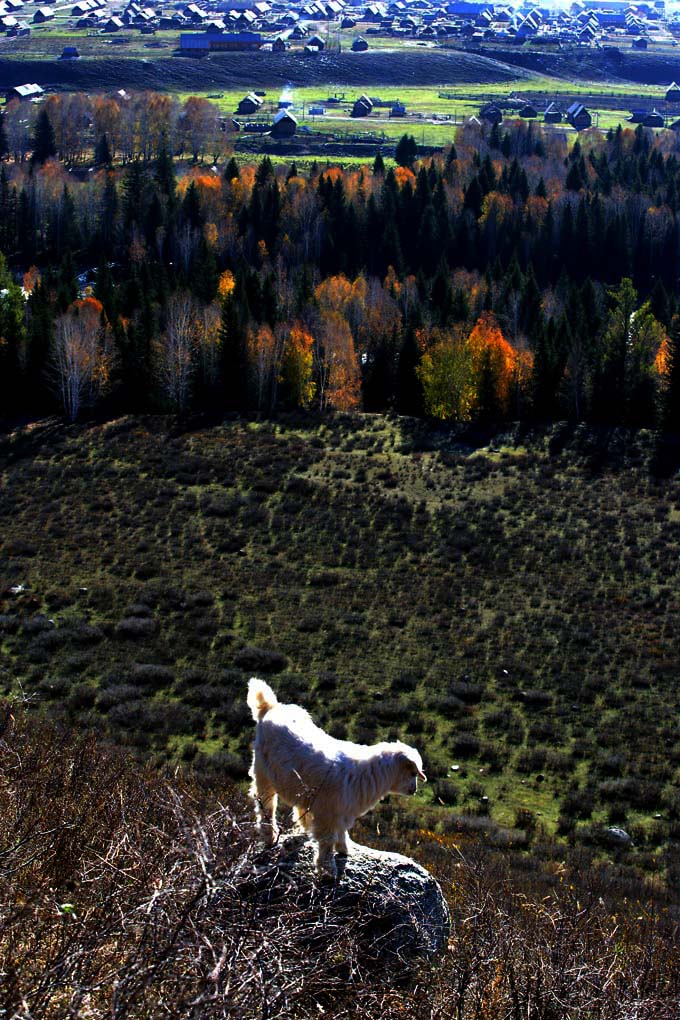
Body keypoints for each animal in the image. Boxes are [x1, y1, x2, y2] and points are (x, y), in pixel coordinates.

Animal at [245, 677, 426, 877]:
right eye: (412, 772)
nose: (414, 790)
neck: (368, 773)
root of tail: (270, 707)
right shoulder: (328, 812)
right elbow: (327, 840)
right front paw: (327, 869)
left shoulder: (342, 811)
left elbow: (341, 832)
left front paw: (344, 849)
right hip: (262, 772)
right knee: (266, 805)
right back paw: (270, 835)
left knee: (299, 808)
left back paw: (304, 829)